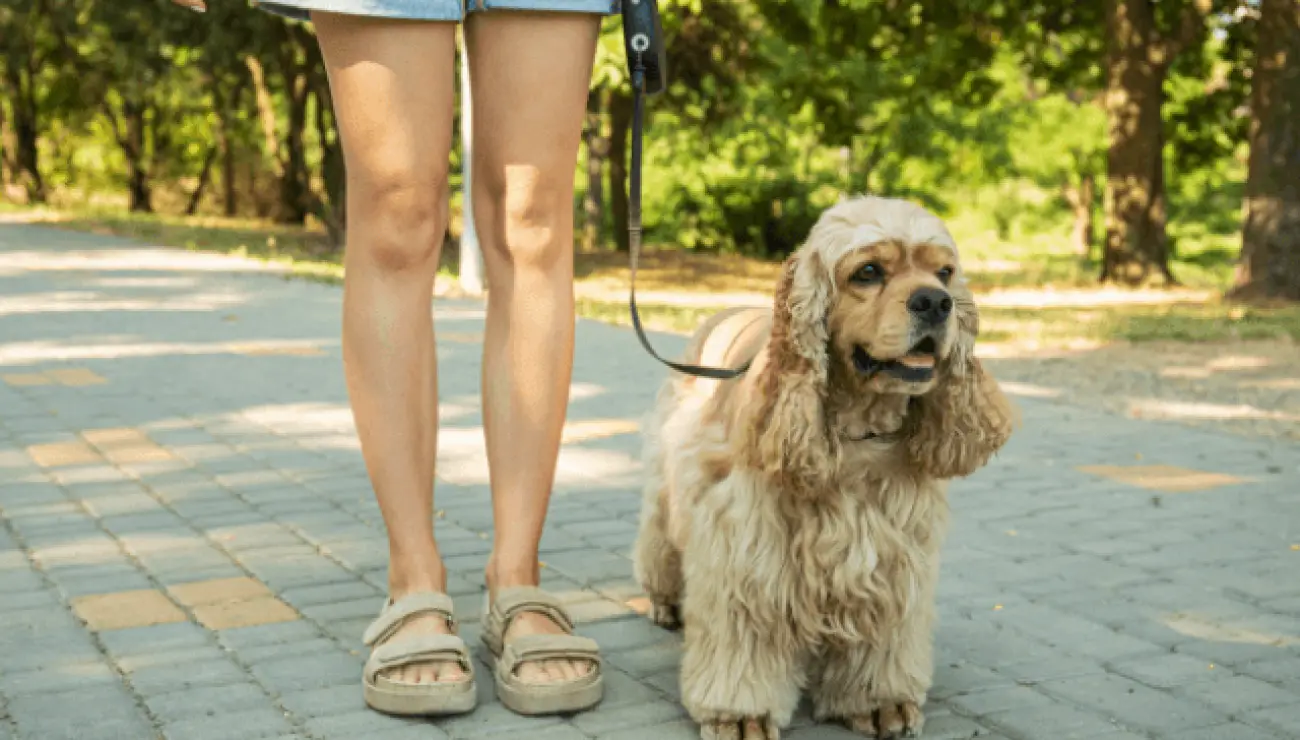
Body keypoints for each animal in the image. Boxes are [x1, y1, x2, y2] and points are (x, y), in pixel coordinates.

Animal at [634, 196, 1019, 738]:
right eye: (869, 271)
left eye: (944, 272)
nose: (936, 302)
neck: (859, 430)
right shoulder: (746, 545)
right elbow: (744, 636)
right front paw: (740, 713)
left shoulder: (893, 553)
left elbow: (882, 638)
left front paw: (880, 702)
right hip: (671, 485)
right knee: (658, 542)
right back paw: (665, 602)